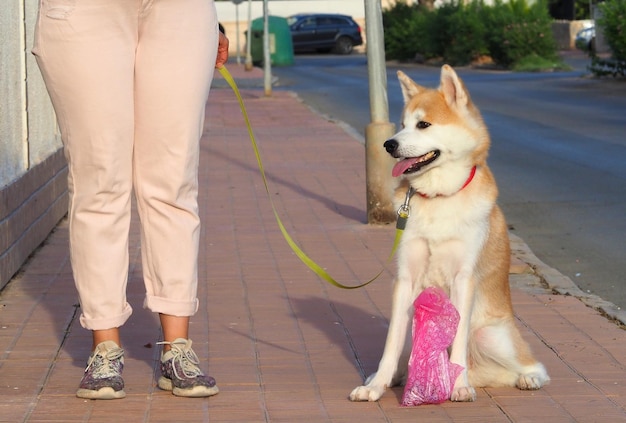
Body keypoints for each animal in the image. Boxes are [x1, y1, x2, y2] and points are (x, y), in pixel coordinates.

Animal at [348, 64, 548, 402]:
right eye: (402, 125)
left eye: (423, 124)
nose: (389, 144)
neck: (438, 198)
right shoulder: (405, 280)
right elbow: (390, 345)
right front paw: (376, 386)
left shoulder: (463, 279)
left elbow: (457, 342)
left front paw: (458, 386)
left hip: (492, 336)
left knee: (530, 364)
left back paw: (526, 378)